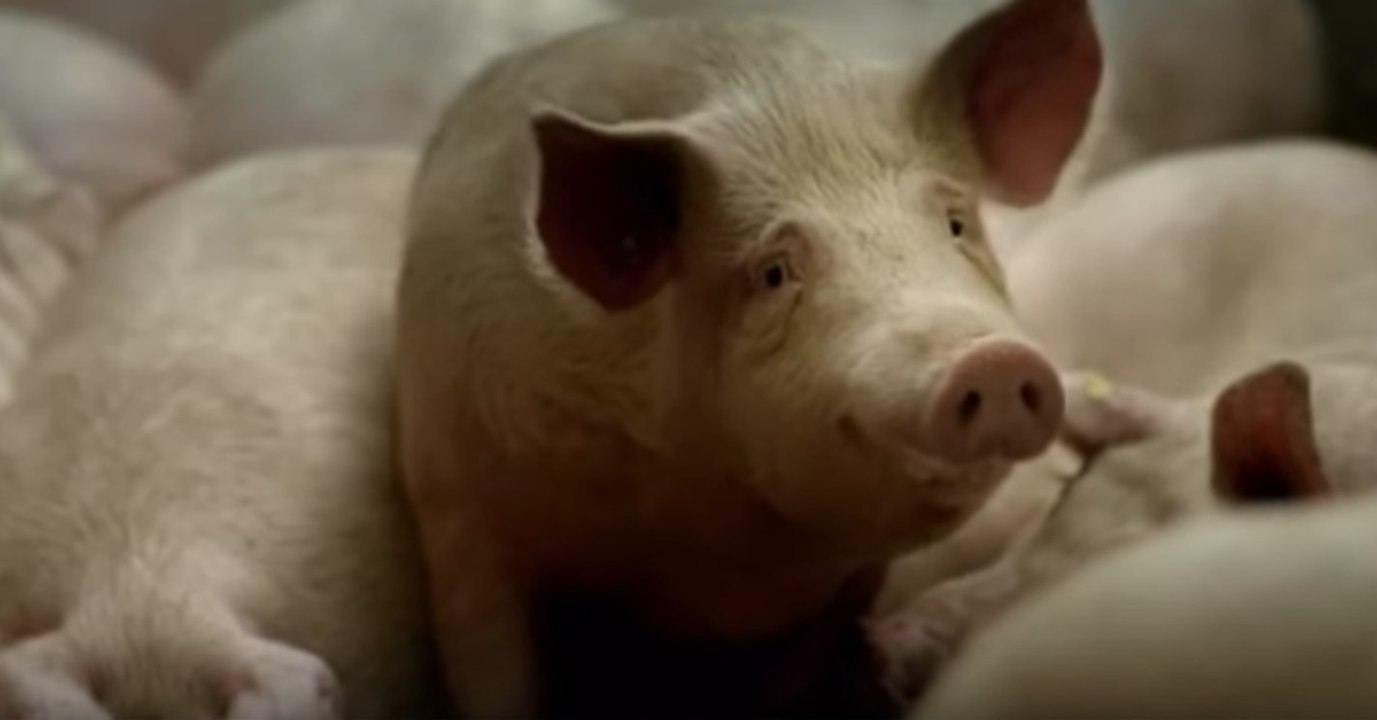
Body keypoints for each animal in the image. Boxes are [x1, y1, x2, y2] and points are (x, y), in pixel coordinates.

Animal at [396, 1, 1102, 715]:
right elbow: (494, 675)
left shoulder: (851, 581)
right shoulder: (459, 510)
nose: (994, 361)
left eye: (956, 223)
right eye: (773, 272)